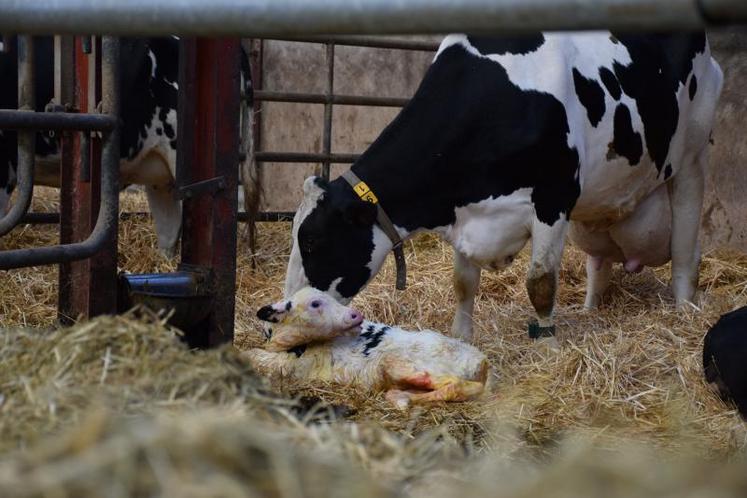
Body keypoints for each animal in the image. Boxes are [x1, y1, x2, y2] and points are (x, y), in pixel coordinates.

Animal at [247, 288, 490, 408]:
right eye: (315, 304)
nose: (356, 315)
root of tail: (480, 361)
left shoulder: (292, 366)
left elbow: (253, 356)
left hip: (400, 363)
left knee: (457, 386)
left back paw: (404, 397)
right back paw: (401, 396)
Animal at [284, 33, 720, 340]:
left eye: (312, 241)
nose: (285, 308)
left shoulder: (553, 197)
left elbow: (540, 283)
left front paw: (548, 344)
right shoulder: (464, 214)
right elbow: (463, 284)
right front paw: (461, 338)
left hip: (691, 157)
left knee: (685, 247)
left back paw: (685, 310)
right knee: (600, 262)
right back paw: (589, 310)